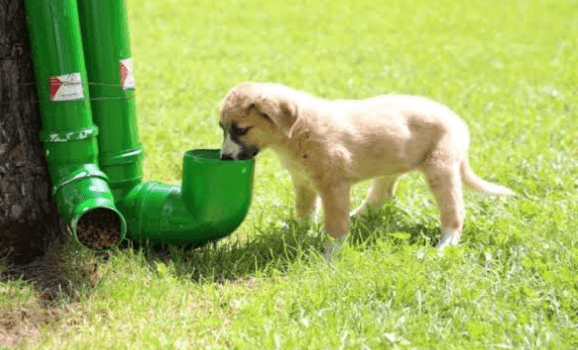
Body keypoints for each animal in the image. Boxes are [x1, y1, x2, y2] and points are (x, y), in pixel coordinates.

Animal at [217, 82, 512, 258]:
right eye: (222, 129)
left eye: (241, 130)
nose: (224, 157)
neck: (297, 132)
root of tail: (457, 120)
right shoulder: (303, 182)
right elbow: (304, 212)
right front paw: (296, 233)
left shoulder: (334, 185)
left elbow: (335, 224)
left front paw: (330, 254)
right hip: (392, 166)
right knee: (382, 194)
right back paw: (359, 216)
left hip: (441, 168)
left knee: (454, 212)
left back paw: (443, 246)